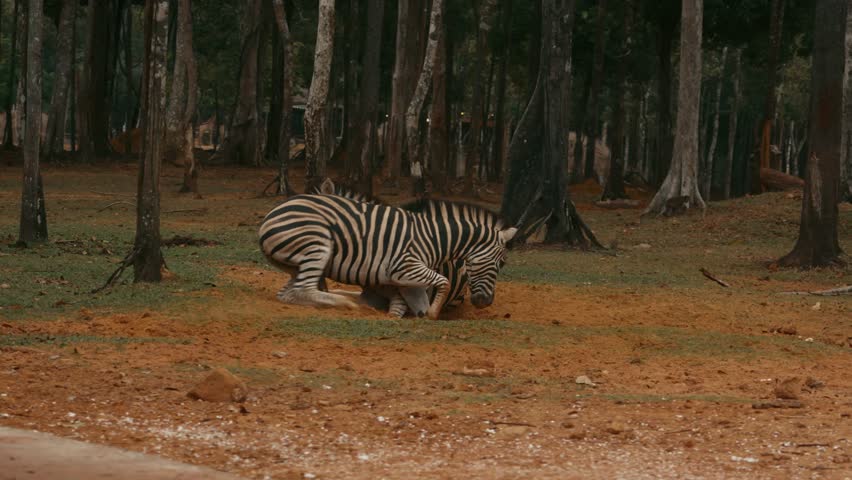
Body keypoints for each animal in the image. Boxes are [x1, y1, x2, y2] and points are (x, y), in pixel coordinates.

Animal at [259, 194, 516, 319]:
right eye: (501, 263)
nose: (485, 303)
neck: (436, 238)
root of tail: (269, 217)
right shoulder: (405, 267)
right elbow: (442, 282)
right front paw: (432, 313)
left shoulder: (406, 281)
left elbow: (410, 302)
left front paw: (423, 312)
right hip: (318, 244)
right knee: (303, 289)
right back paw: (346, 304)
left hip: (297, 262)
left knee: (289, 294)